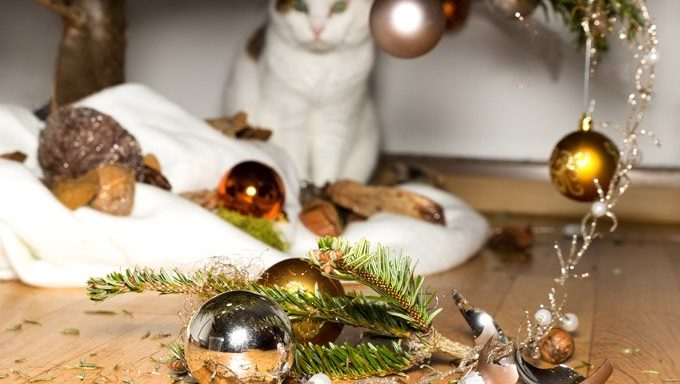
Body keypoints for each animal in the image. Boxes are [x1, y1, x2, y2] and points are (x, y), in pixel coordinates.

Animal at [226, 0, 380, 186]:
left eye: (339, 7)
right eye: (300, 6)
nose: (317, 29)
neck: (318, 64)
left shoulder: (338, 116)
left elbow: (329, 156)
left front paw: (325, 184)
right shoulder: (290, 113)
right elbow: (294, 152)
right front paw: (300, 183)